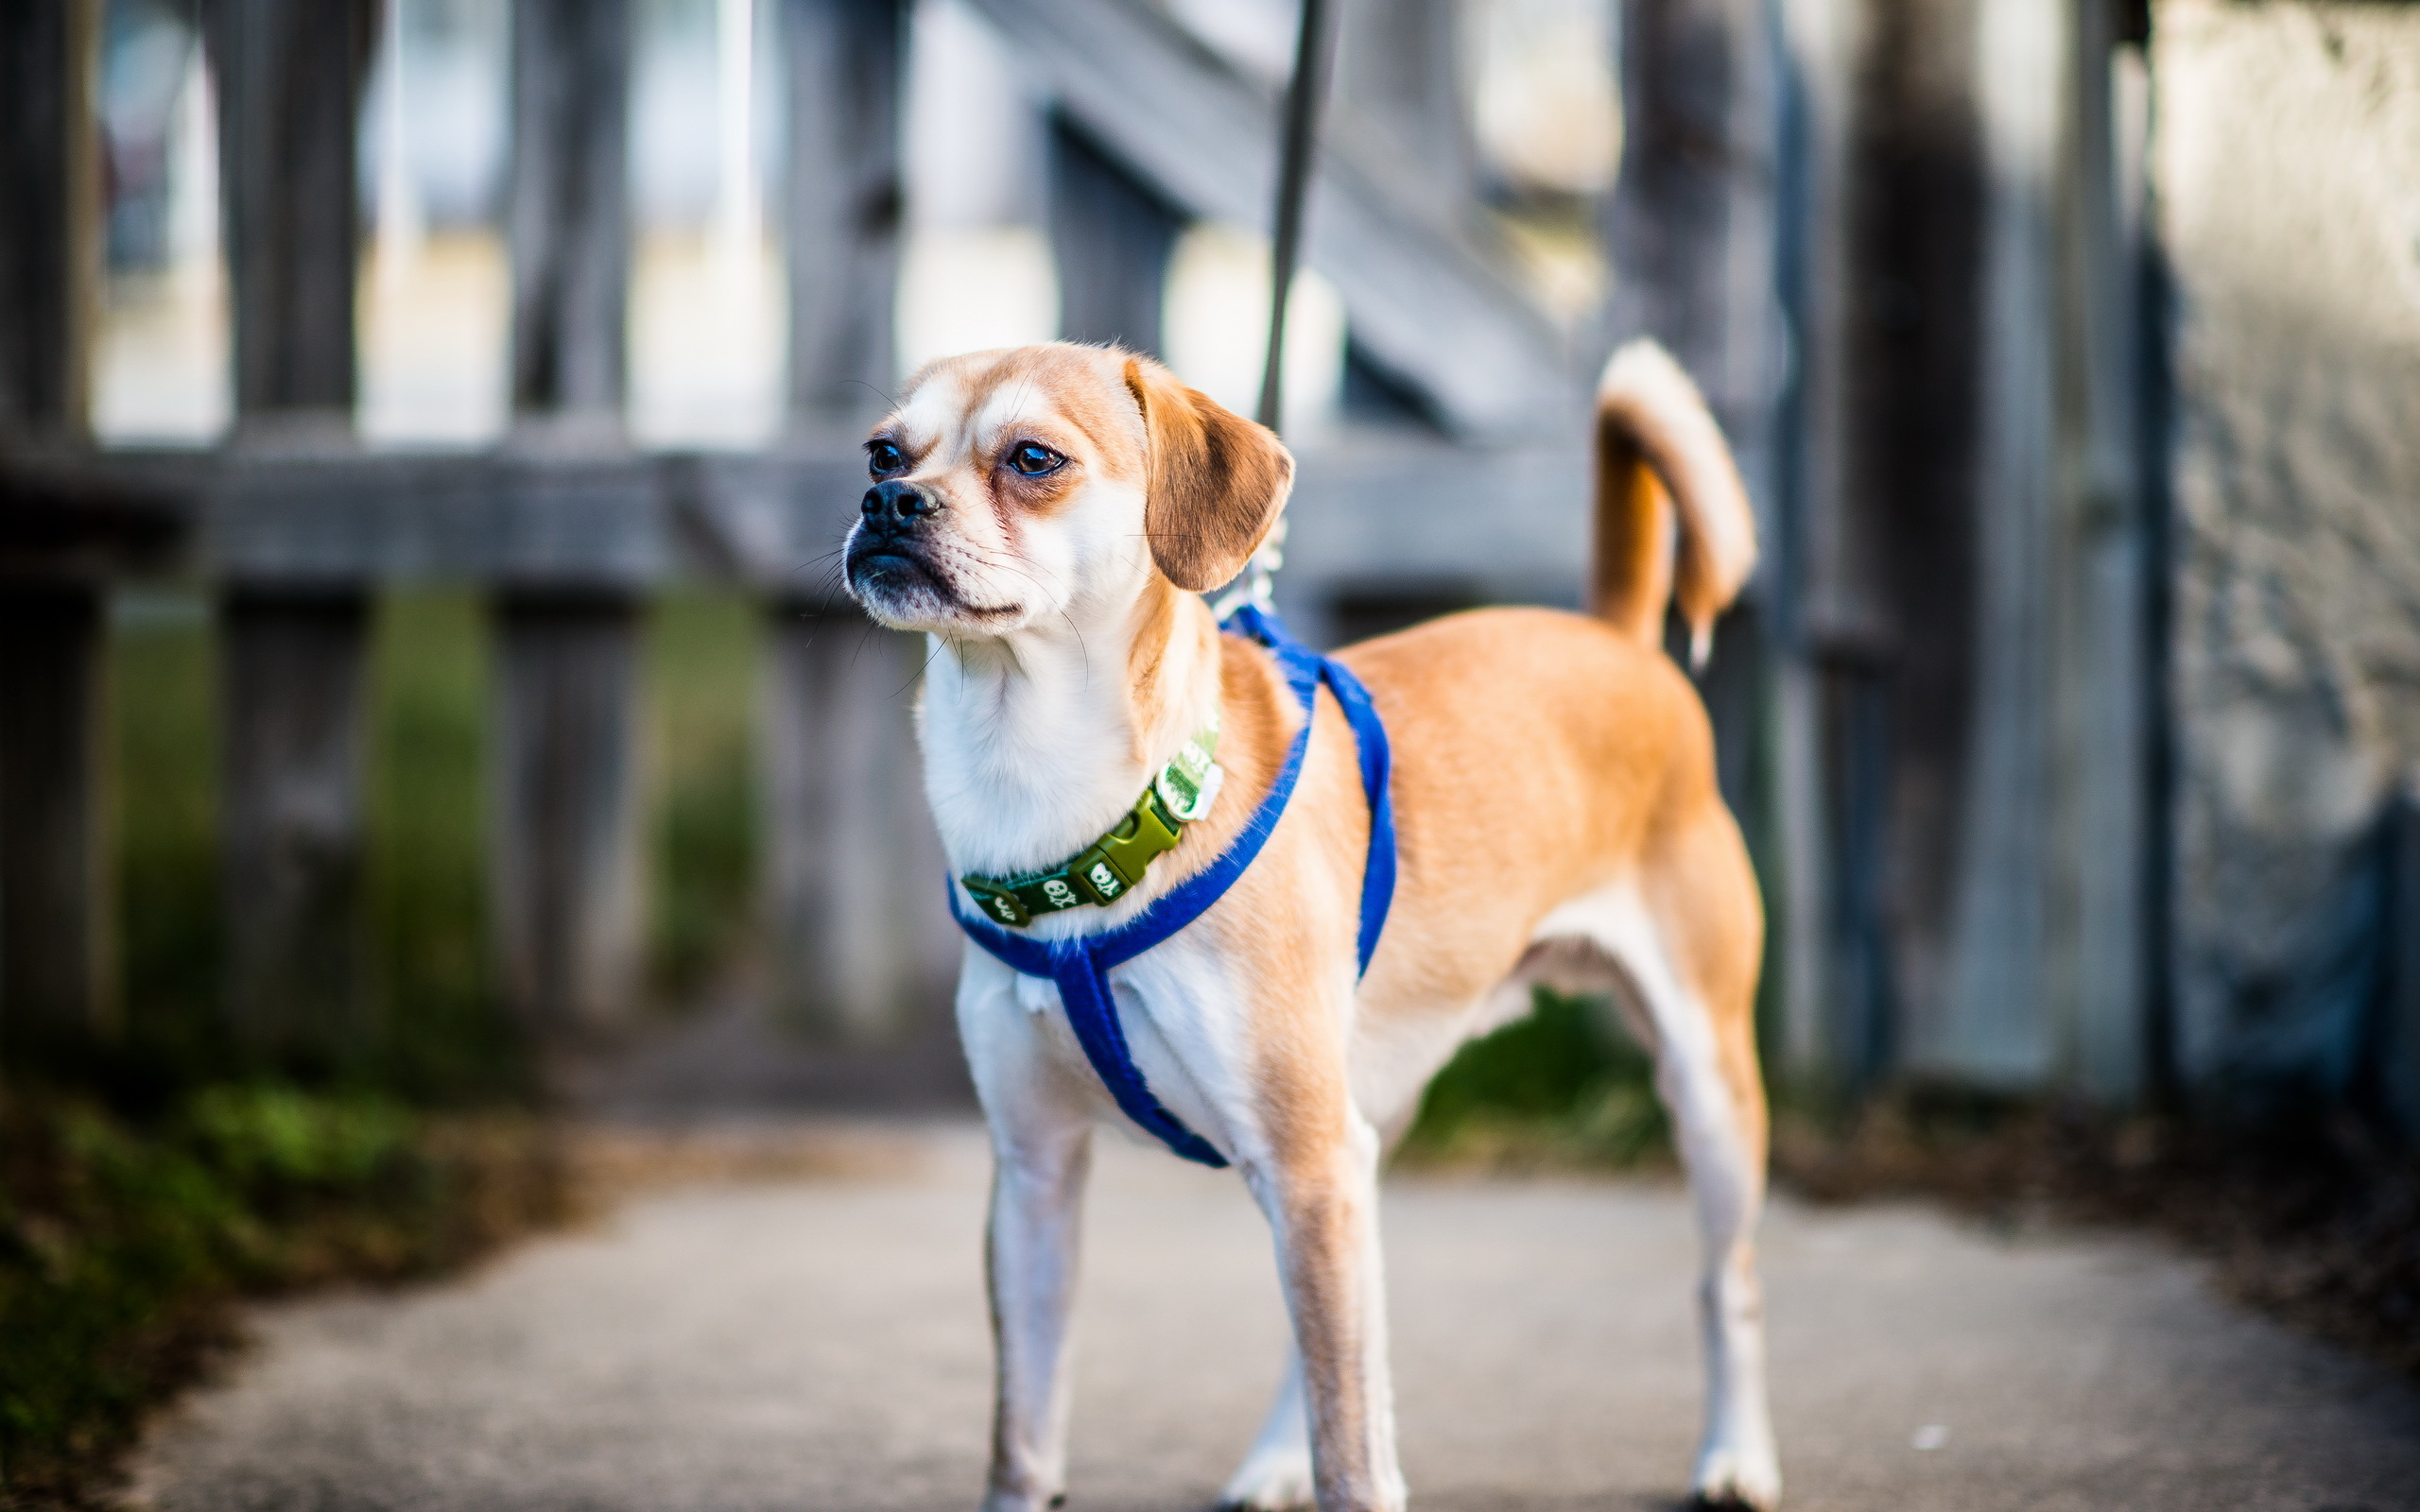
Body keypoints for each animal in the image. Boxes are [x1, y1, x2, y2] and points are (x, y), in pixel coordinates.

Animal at [847, 338, 1781, 1509]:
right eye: (882, 451)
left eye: (1032, 458)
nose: (887, 501)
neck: (1067, 816)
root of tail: (1611, 637)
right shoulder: (1037, 1177)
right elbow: (1025, 1434)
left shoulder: (1305, 1162)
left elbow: (1356, 1449)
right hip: (1356, 1121)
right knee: (1326, 1335)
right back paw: (1274, 1460)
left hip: (1700, 1088)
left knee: (1724, 1284)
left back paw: (1737, 1454)